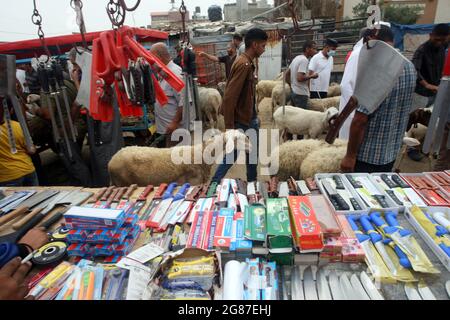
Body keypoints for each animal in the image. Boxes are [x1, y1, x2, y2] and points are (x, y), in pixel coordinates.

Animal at [109, 129, 250, 186]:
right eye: (241, 138)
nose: (252, 146)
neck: (201, 154)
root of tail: (111, 161)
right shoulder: (193, 182)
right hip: (122, 182)